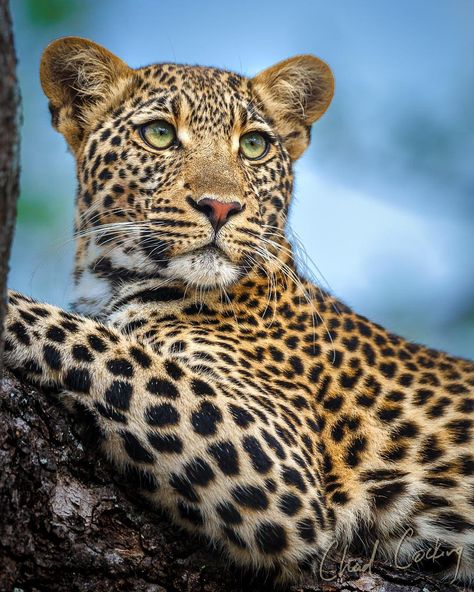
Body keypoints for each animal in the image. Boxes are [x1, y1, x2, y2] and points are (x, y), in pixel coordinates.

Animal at [1, 37, 472, 588]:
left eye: (253, 145)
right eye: (159, 134)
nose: (221, 207)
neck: (108, 280)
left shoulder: (282, 469)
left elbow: (98, 341)